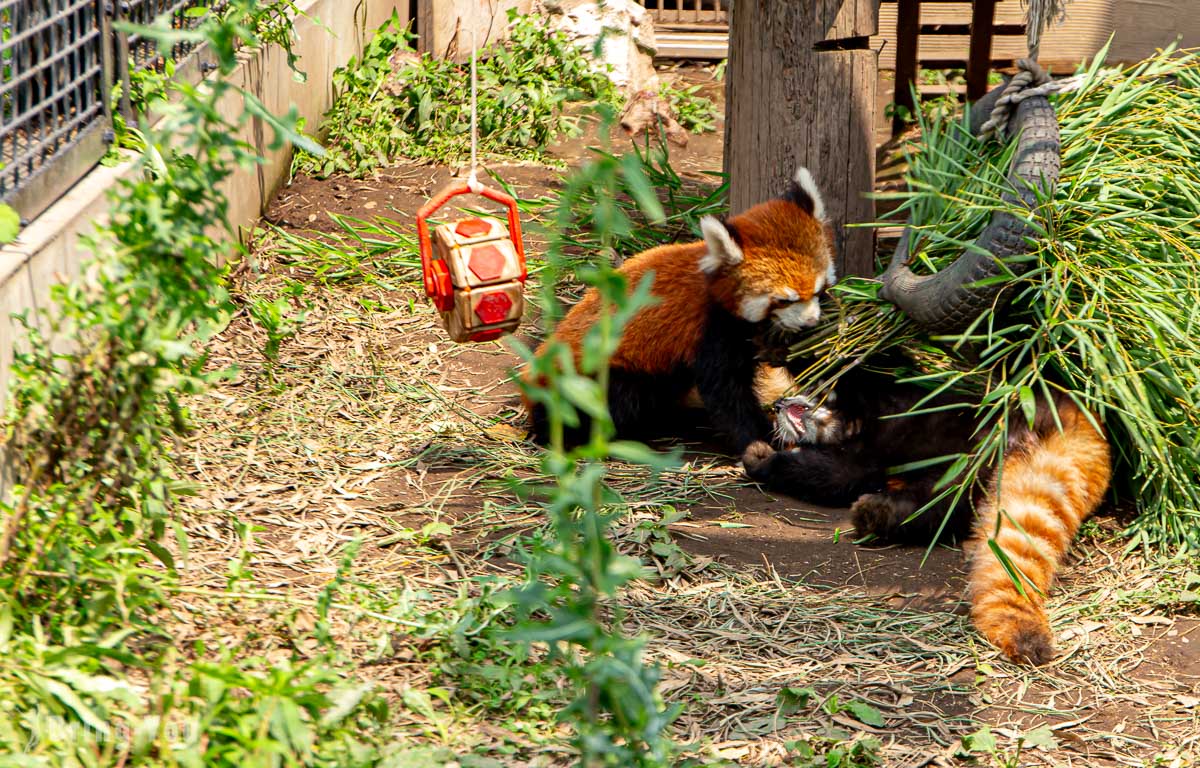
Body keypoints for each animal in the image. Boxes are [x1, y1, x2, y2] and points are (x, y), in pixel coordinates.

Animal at [525, 168, 835, 451]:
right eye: (784, 299)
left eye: (818, 290)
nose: (811, 321)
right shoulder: (711, 330)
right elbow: (726, 392)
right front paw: (761, 438)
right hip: (596, 374)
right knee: (612, 399)